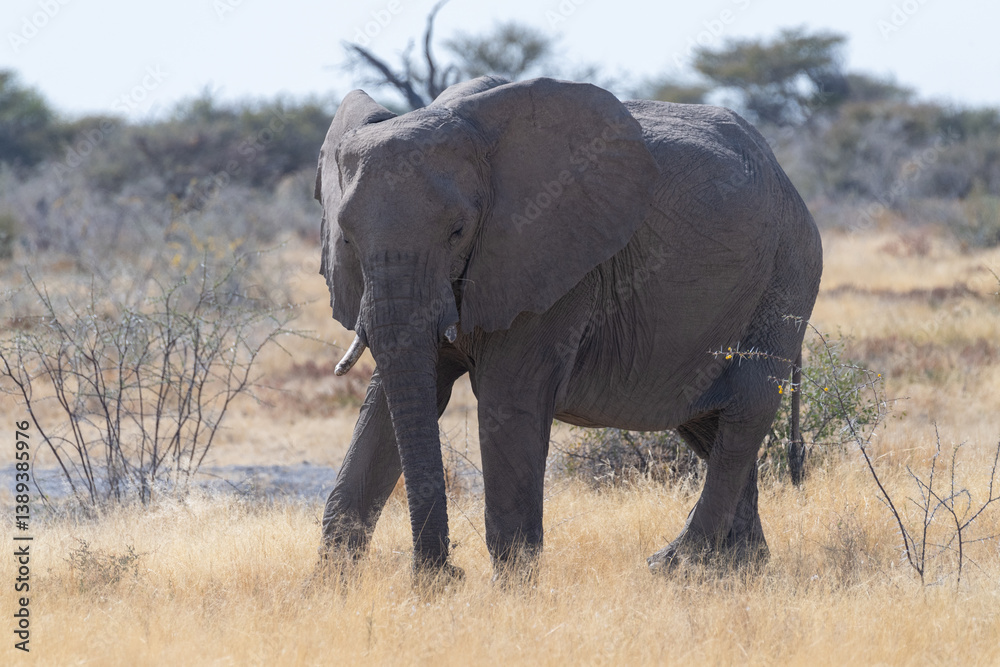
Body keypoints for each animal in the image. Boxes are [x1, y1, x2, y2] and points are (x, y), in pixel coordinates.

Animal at [314, 75, 822, 580]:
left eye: (458, 231)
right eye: (346, 237)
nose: (446, 572)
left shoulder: (549, 261)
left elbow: (509, 402)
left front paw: (512, 590)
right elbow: (389, 402)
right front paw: (329, 584)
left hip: (788, 270)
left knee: (746, 406)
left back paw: (676, 566)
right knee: (705, 421)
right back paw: (736, 572)